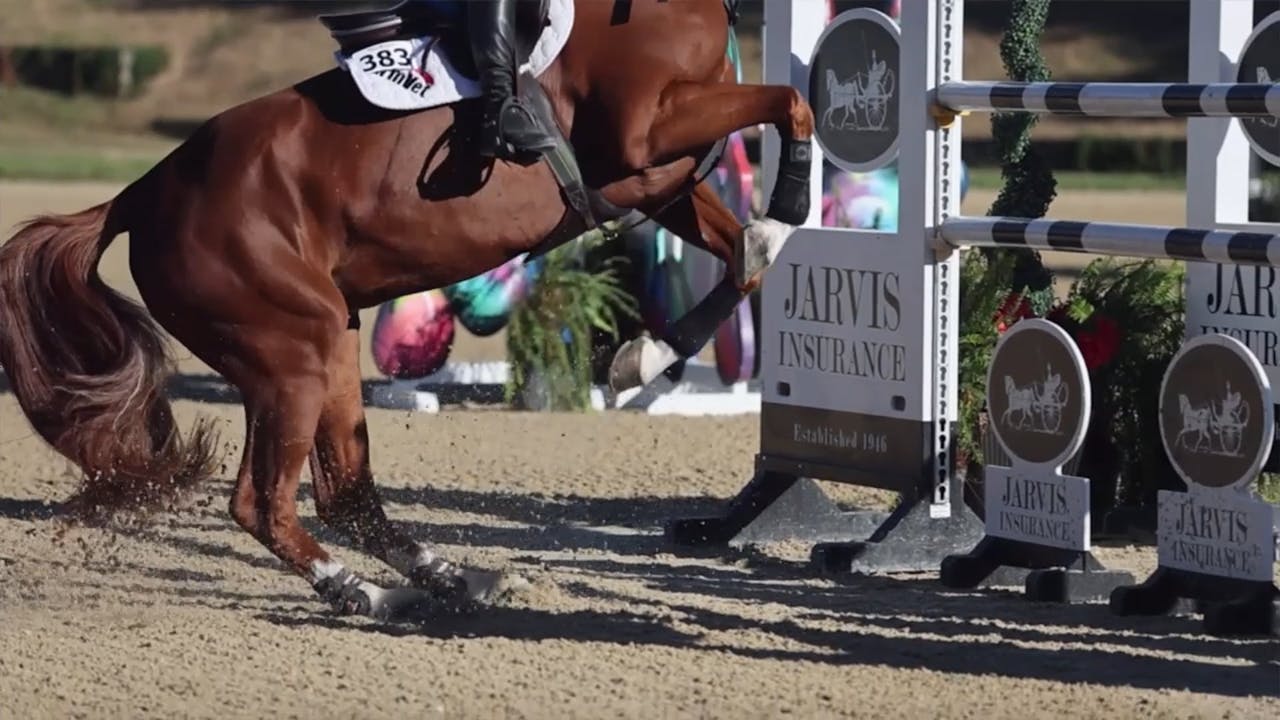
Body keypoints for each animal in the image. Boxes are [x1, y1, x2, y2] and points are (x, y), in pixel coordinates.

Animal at [0, 0, 814, 617]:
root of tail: (144, 193)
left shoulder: (660, 178)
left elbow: (744, 257)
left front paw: (641, 358)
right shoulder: (647, 131)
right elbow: (790, 106)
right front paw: (787, 206)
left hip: (331, 342)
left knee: (346, 494)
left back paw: (455, 579)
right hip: (294, 352)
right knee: (264, 503)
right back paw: (368, 595)